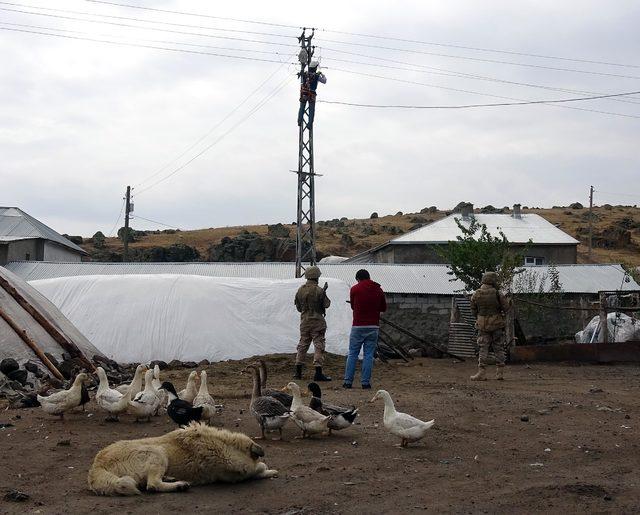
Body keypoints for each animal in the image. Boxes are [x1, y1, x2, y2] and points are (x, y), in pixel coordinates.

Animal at [87, 424, 278, 496]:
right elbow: (259, 467)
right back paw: (180, 485)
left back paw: (173, 479)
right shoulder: (236, 473)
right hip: (157, 453)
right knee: (152, 485)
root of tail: (96, 466)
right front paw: (270, 470)